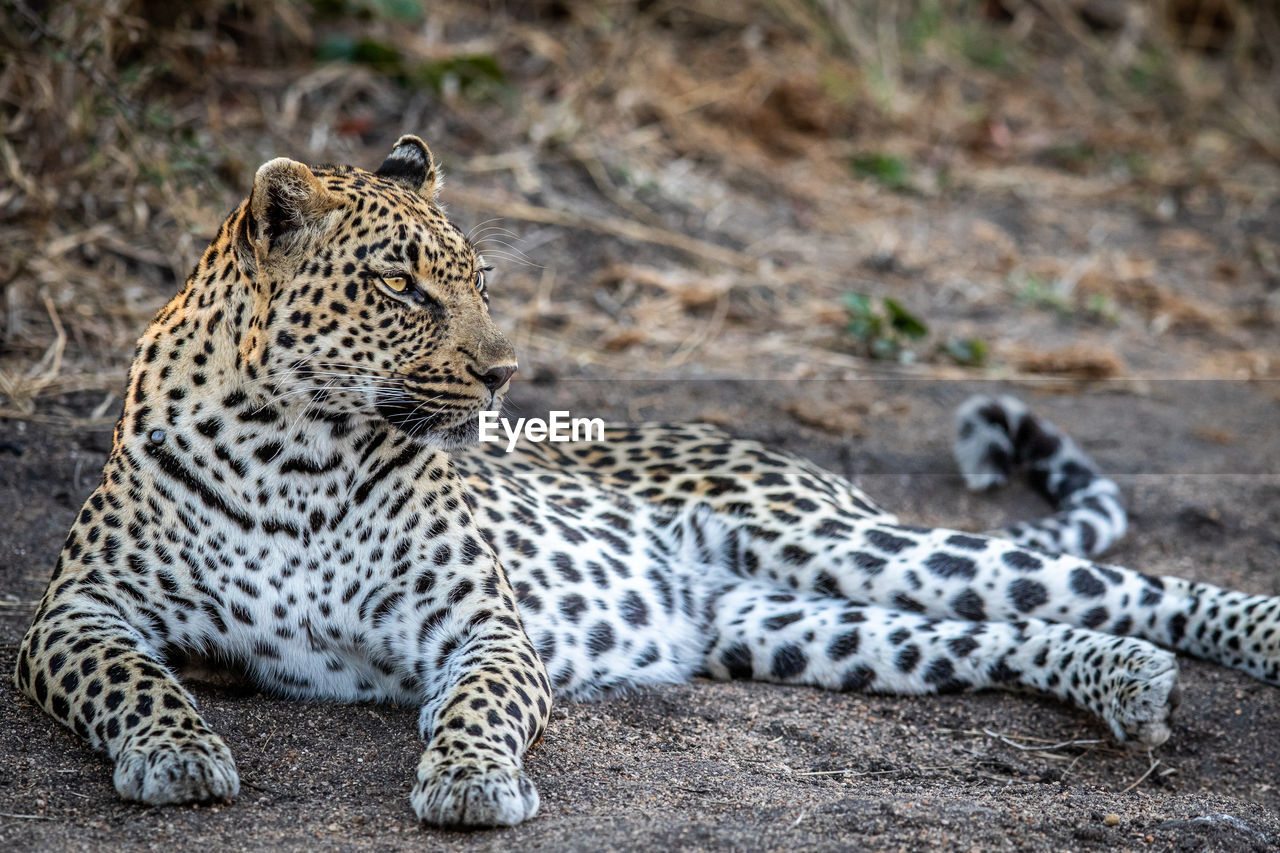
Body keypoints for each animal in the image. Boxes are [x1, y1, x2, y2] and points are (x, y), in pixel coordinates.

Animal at [17, 137, 1280, 824]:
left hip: (830, 540)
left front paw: (469, 782)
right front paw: (175, 753)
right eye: (402, 287)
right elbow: (128, 678)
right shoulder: (74, 613)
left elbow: (478, 704)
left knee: (1118, 585)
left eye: (479, 280)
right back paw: (1124, 684)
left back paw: (1229, 641)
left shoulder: (481, 624)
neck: (296, 451)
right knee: (990, 631)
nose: (503, 369)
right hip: (790, 625)